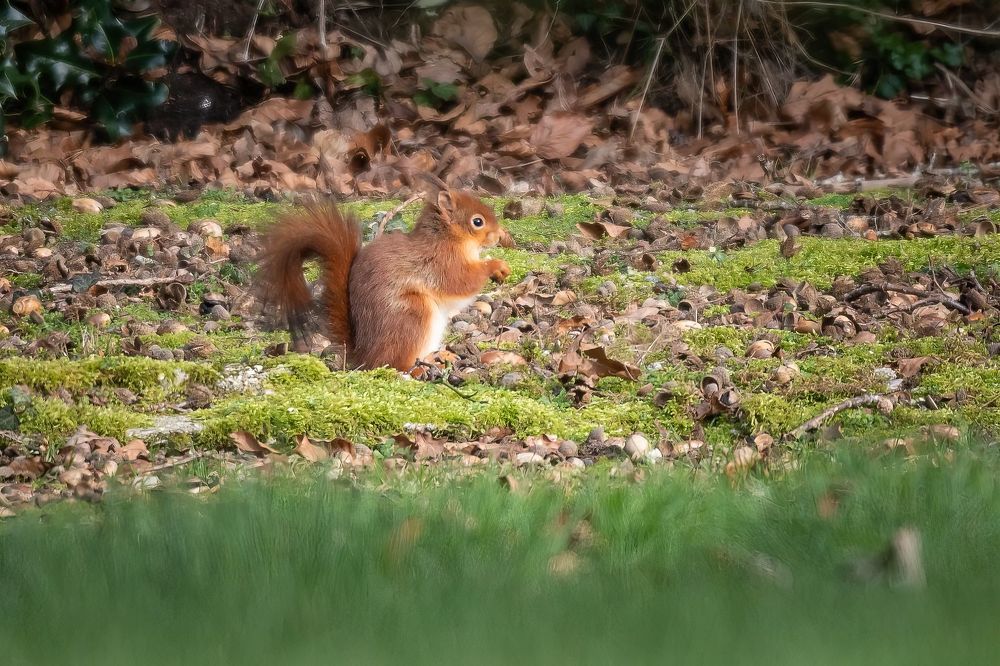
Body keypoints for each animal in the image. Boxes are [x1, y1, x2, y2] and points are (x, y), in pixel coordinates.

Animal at [256, 188, 511, 372]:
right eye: (477, 222)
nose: (499, 235)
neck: (448, 238)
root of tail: (364, 355)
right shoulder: (440, 263)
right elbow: (461, 281)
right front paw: (495, 265)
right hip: (412, 315)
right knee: (396, 364)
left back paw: (440, 355)